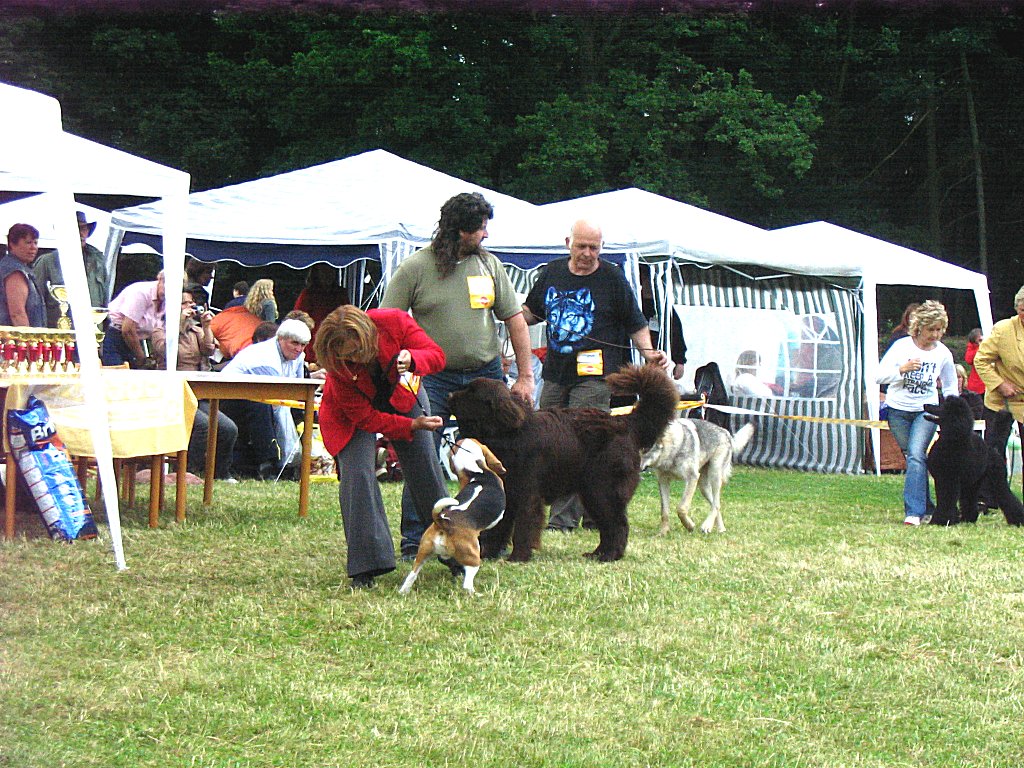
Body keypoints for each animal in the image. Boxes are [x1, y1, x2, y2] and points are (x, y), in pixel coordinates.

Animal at [401, 438, 509, 593]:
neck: (476, 471)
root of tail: (442, 522)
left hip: (422, 552)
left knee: (412, 574)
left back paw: (403, 591)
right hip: (472, 557)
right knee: (467, 584)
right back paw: (476, 594)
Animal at [450, 364, 679, 561]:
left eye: (471, 393)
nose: (450, 395)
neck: (509, 435)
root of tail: (624, 422)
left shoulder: (527, 494)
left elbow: (524, 526)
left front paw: (518, 557)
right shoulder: (507, 492)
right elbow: (498, 527)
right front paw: (488, 553)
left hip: (602, 490)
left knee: (617, 524)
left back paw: (608, 556)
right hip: (592, 493)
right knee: (609, 526)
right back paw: (597, 554)